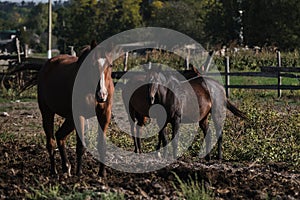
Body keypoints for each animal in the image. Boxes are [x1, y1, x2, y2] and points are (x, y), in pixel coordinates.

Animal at [37, 41, 113, 177]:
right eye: (92, 64)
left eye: (110, 65)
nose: (102, 94)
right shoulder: (79, 115)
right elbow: (80, 147)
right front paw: (79, 173)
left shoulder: (104, 115)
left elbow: (102, 144)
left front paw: (102, 173)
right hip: (47, 112)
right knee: (51, 142)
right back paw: (54, 171)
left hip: (70, 119)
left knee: (60, 136)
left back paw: (66, 167)